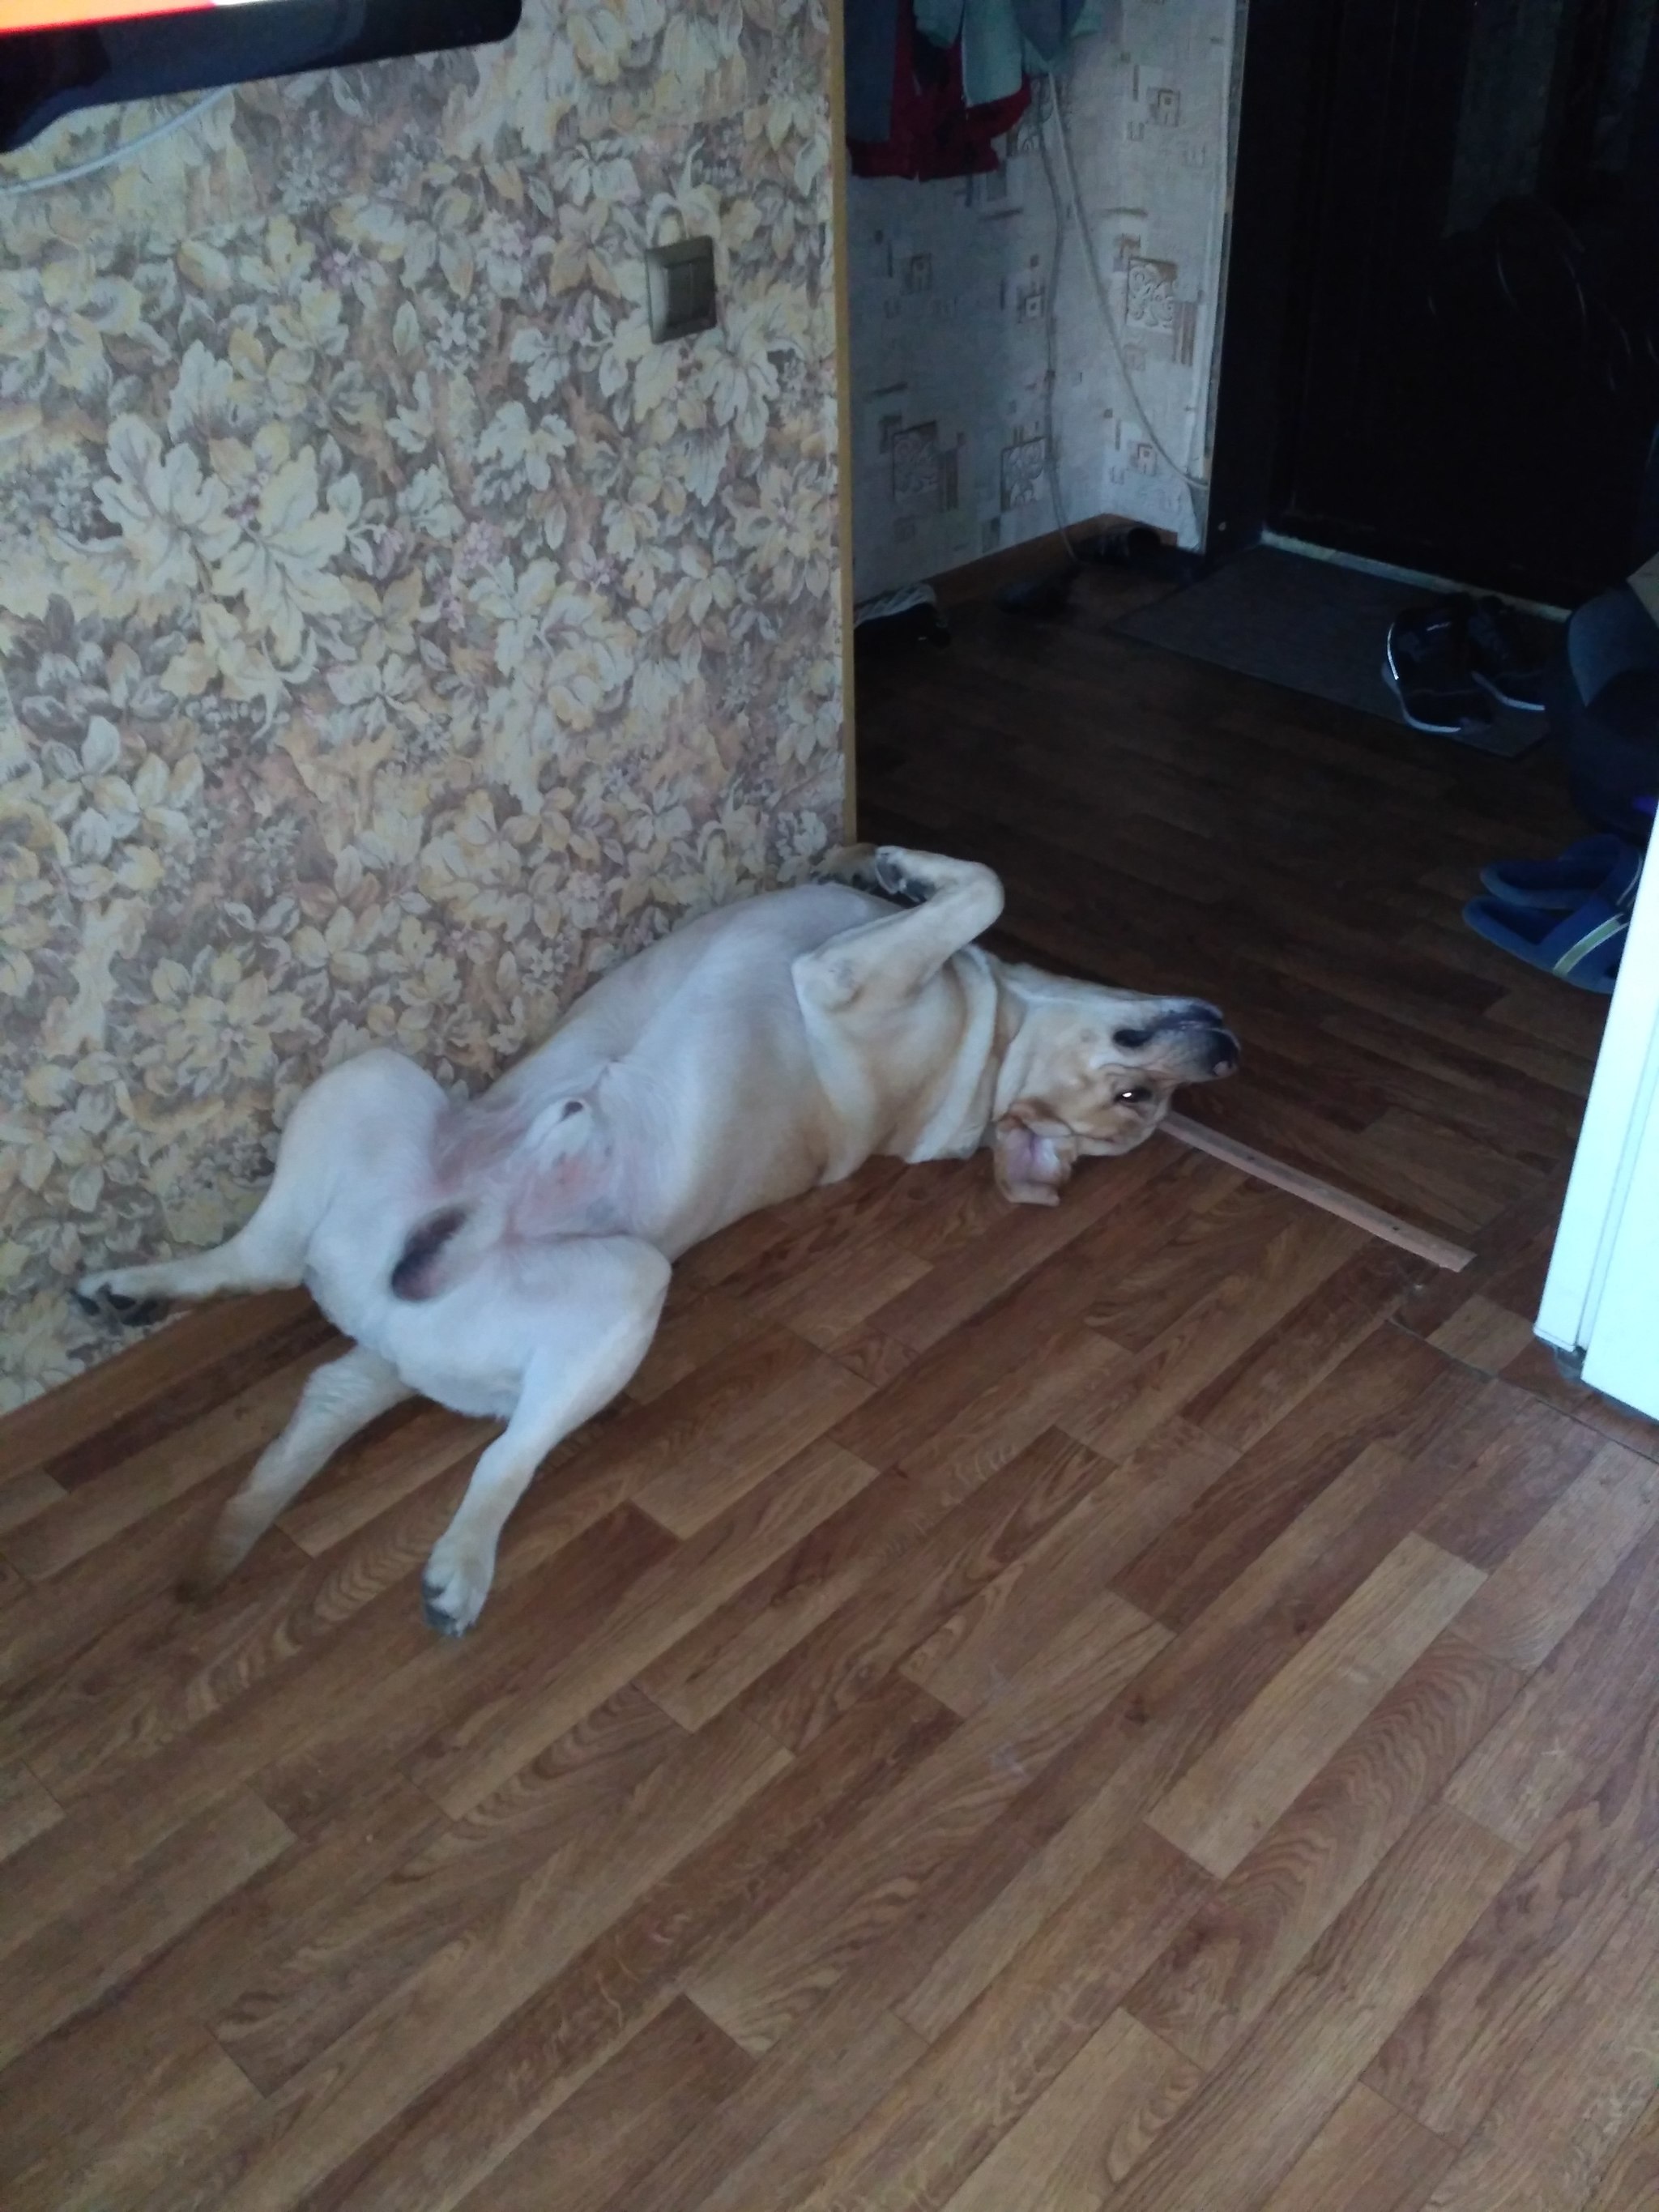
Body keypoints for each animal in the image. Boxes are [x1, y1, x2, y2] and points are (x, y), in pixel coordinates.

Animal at [75, 844, 1237, 1633]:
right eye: (1138, 1096)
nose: (1224, 1051)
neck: (989, 1051)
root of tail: (391, 1336)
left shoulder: (836, 975)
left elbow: (986, 886)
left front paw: (911, 873)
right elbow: (966, 891)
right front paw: (894, 866)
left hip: (626, 1286)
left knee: (507, 1450)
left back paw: (461, 1565)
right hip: (371, 1077)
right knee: (267, 1267)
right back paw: (135, 1287)